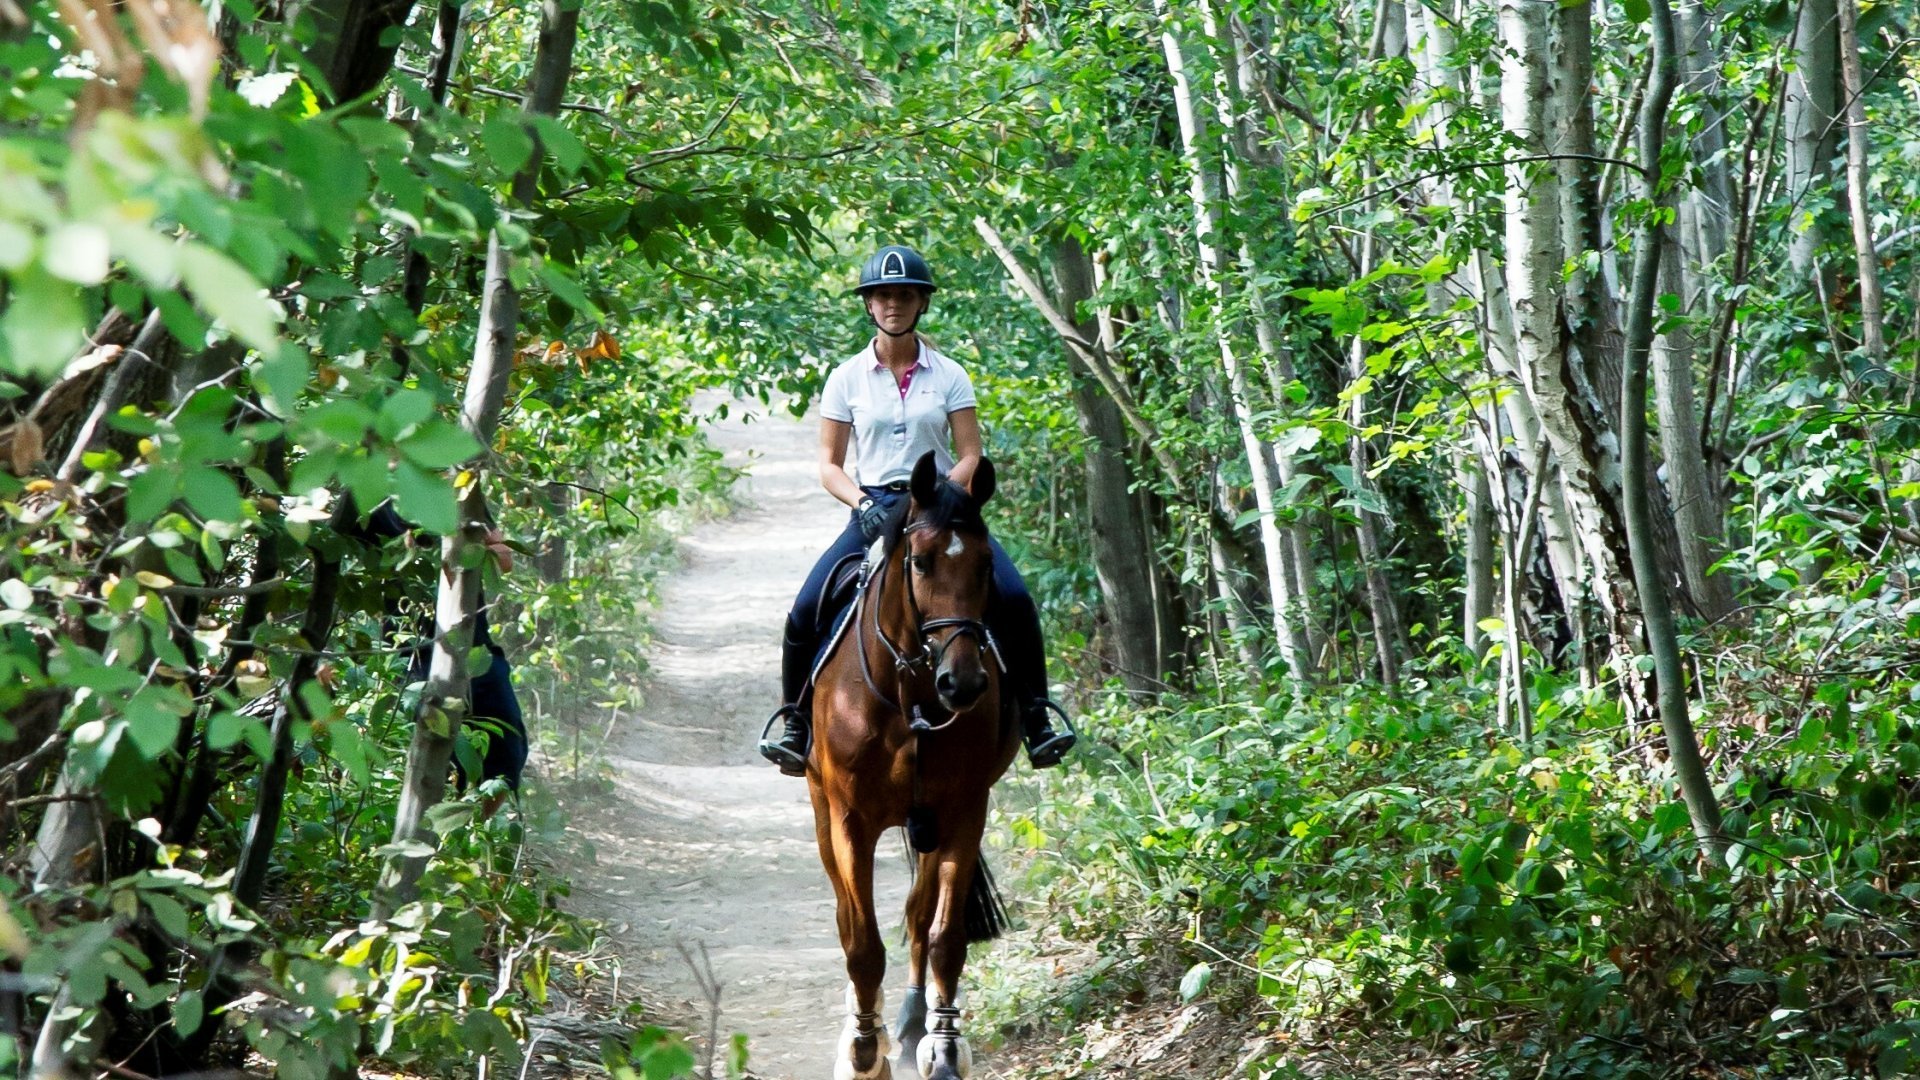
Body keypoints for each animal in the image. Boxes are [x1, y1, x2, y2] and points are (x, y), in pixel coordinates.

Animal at [805, 450, 1019, 1080]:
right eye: (920, 562)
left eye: (984, 565)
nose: (963, 683)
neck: (911, 699)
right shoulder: (850, 821)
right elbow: (862, 943)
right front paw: (862, 1049)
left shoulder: (963, 812)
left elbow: (945, 937)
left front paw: (944, 1049)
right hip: (822, 808)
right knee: (849, 918)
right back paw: (869, 1026)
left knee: (919, 915)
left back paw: (909, 1024)